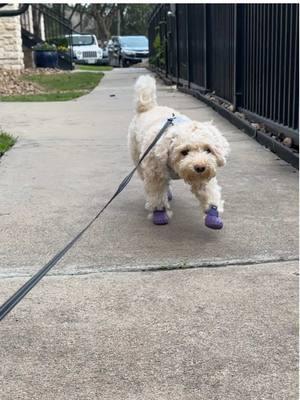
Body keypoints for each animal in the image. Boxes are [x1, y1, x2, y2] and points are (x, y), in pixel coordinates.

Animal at [127, 75, 230, 228]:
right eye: (184, 151)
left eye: (208, 150)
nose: (200, 167)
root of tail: (147, 108)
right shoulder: (155, 174)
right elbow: (157, 195)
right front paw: (159, 214)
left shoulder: (202, 179)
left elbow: (208, 193)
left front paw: (213, 215)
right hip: (139, 162)